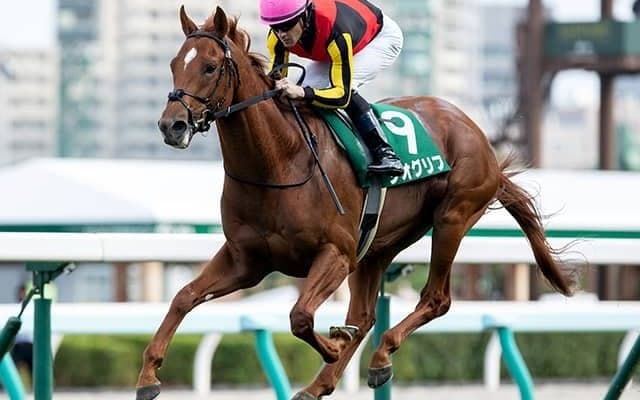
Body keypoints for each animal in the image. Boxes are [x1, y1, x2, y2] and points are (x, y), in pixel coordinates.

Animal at [135, 6, 576, 400]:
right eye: (174, 64)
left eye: (210, 67)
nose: (171, 125)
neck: (280, 159)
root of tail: (478, 137)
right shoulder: (247, 259)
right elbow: (183, 297)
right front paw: (148, 377)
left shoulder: (336, 253)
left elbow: (300, 317)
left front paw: (333, 344)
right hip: (379, 245)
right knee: (364, 317)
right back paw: (323, 383)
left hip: (452, 217)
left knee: (435, 299)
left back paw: (378, 357)